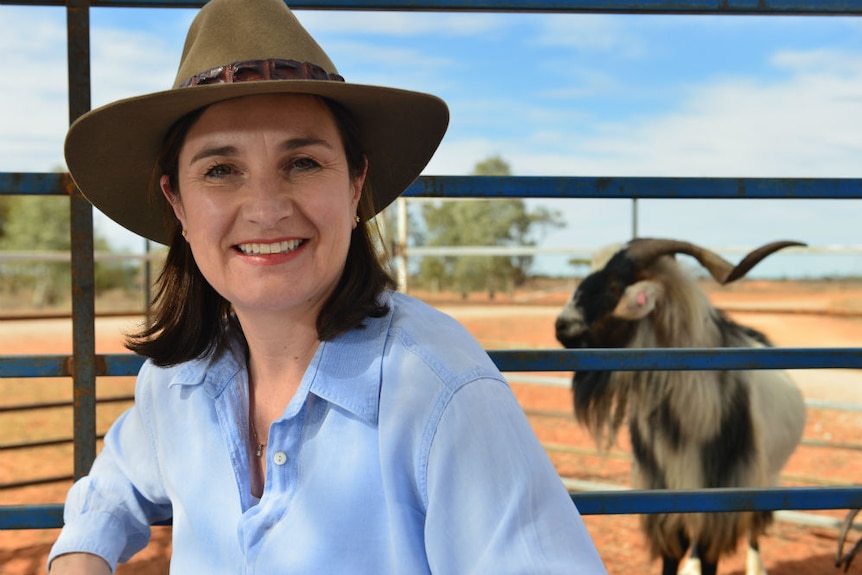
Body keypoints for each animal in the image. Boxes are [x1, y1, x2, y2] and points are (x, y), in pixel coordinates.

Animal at [556, 237, 808, 575]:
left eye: (614, 285)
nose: (562, 326)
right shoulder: (666, 498)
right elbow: (674, 554)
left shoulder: (724, 496)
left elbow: (711, 556)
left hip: (767, 477)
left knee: (754, 529)